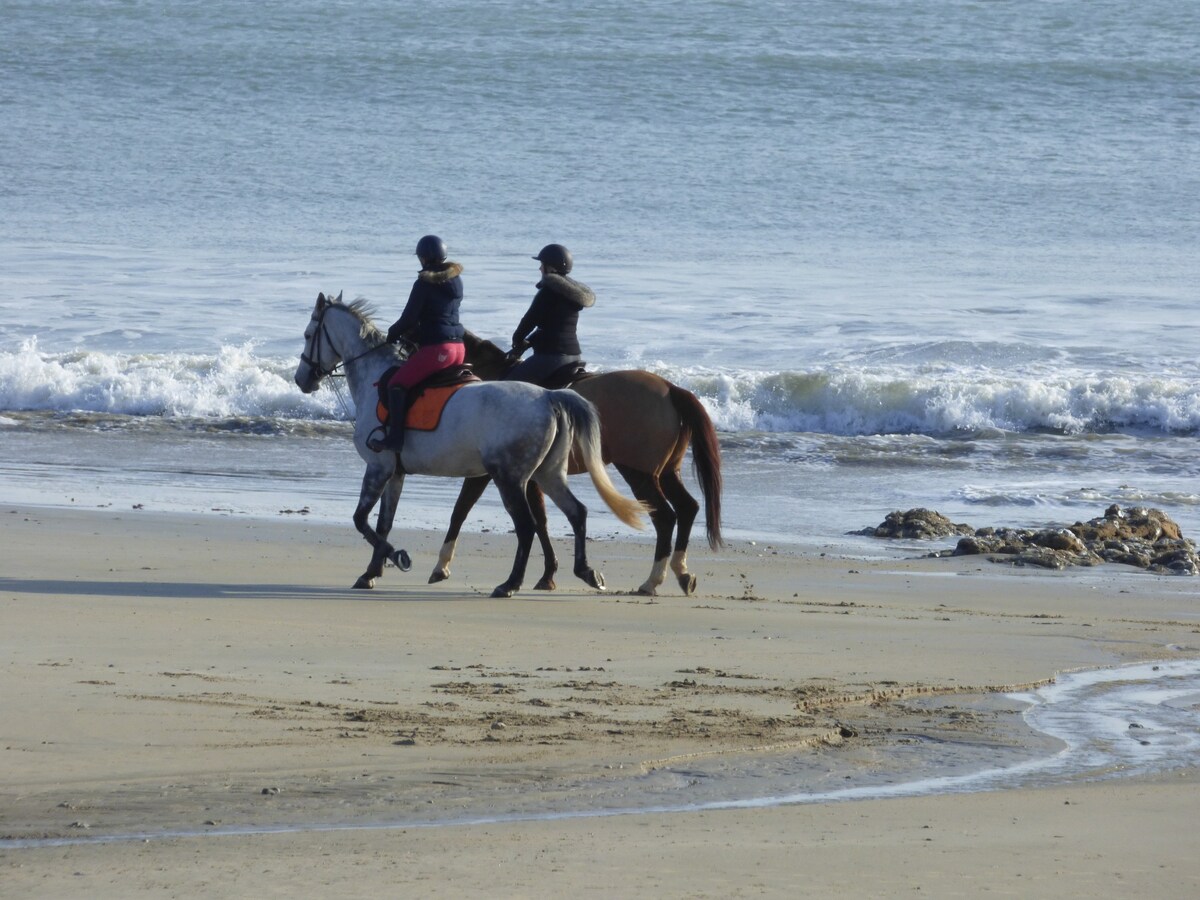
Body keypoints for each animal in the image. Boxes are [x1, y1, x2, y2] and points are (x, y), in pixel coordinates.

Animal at [432, 336, 720, 595]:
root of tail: (671, 388)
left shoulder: (492, 473)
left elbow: (462, 510)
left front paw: (442, 565)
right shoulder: (533, 478)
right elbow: (541, 521)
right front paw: (549, 574)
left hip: (640, 474)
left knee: (665, 517)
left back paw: (652, 581)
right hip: (667, 472)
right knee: (687, 507)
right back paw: (681, 572)